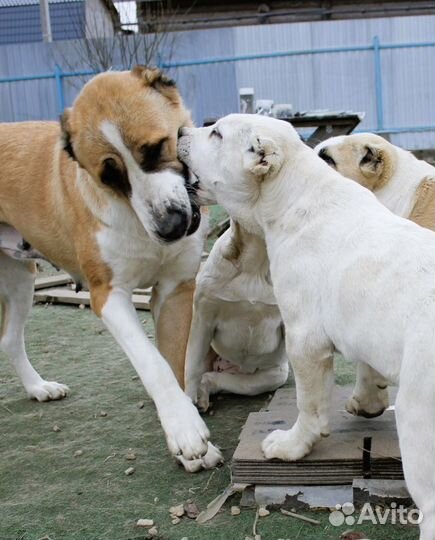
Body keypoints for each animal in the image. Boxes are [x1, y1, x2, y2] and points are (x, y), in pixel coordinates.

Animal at [0, 66, 221, 472]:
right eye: (110, 178)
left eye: (156, 148)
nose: (170, 227)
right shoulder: (108, 296)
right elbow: (152, 363)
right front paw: (184, 430)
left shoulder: (175, 289)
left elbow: (173, 362)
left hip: (22, 277)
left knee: (9, 338)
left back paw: (39, 388)